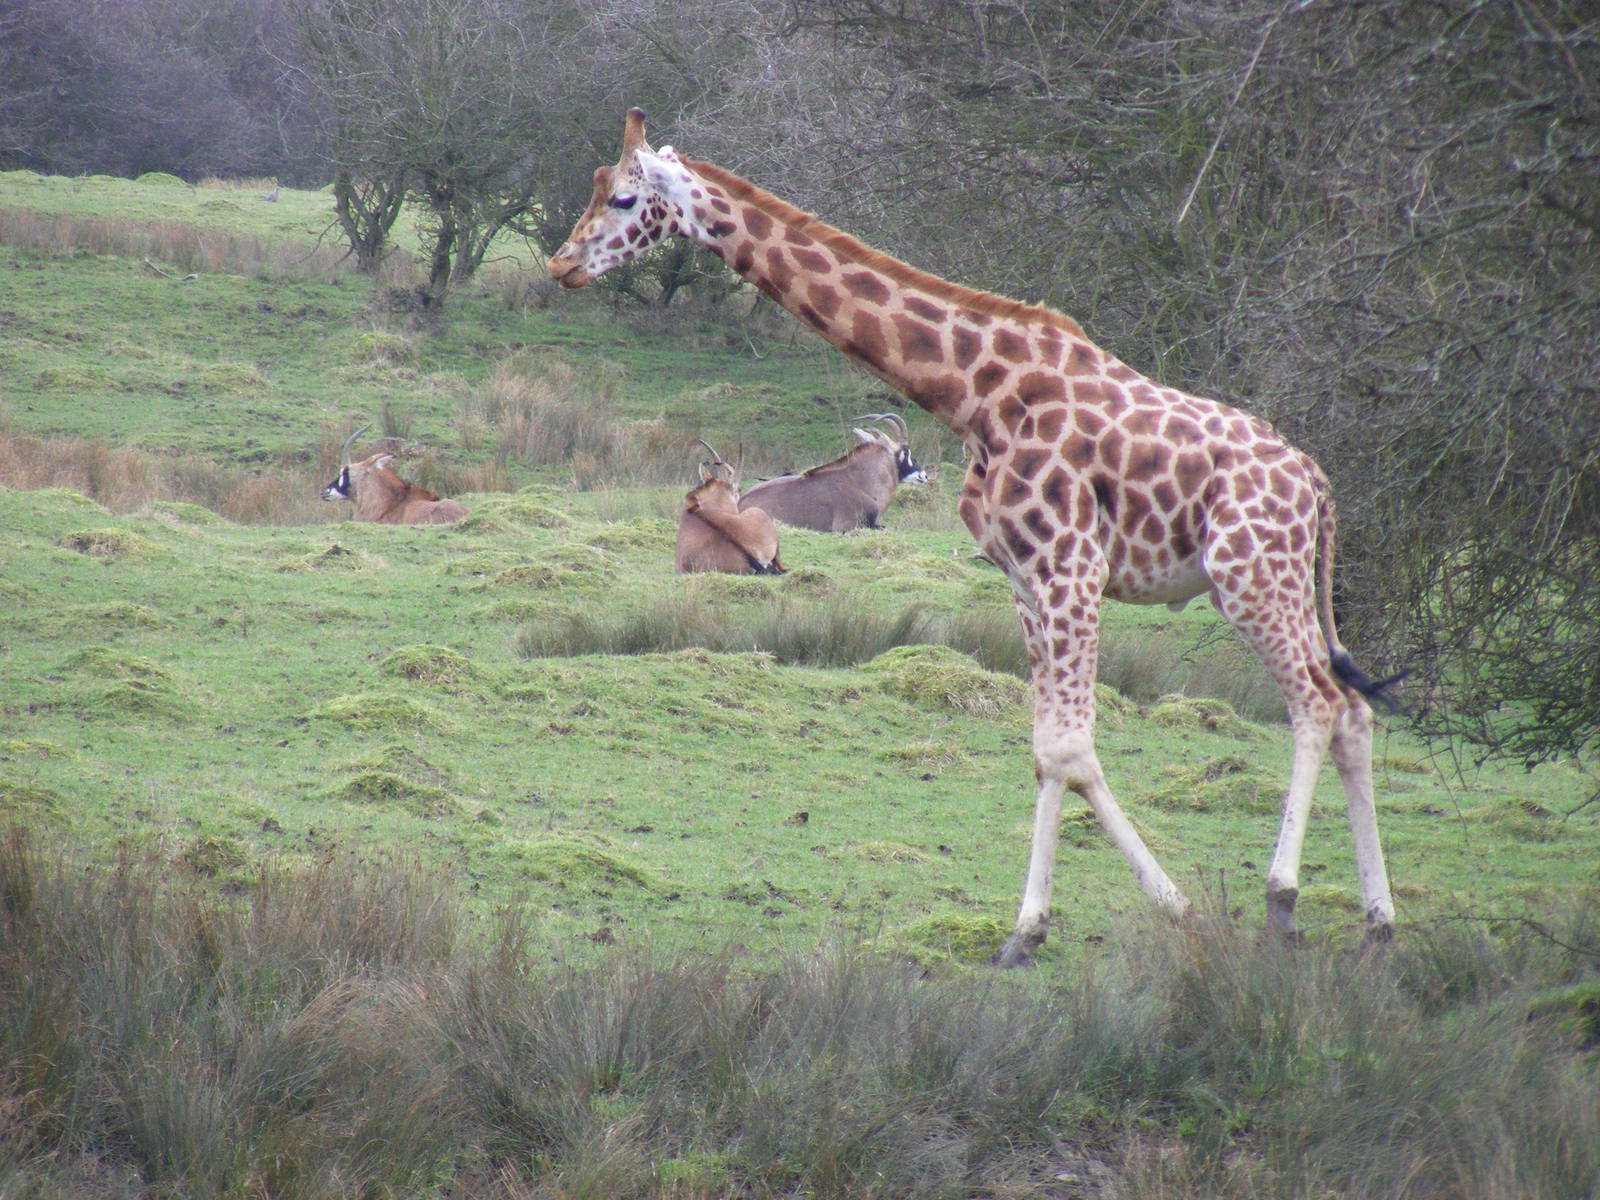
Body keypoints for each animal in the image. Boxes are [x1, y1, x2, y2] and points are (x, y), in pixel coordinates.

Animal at [549, 110, 1402, 965]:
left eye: (624, 199)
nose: (561, 264)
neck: (976, 394)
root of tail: (1318, 485)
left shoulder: (1070, 569)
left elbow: (1070, 748)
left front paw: (1161, 909)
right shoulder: (1024, 580)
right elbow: (1046, 750)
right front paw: (1031, 930)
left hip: (1251, 577)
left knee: (1318, 703)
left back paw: (1284, 899)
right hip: (1278, 585)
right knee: (1353, 713)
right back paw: (1377, 921)